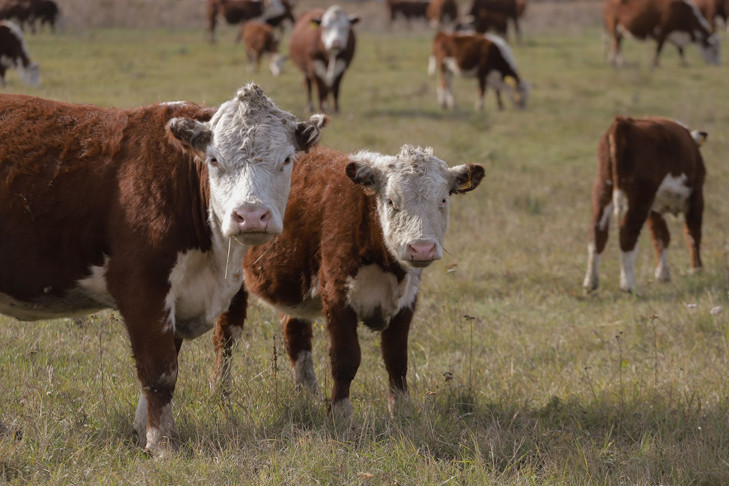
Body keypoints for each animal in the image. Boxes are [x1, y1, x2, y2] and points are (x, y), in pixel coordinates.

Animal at [0, 82, 328, 456]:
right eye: (215, 160)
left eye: (286, 160)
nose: (250, 215)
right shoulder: (144, 287)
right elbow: (159, 371)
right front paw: (163, 443)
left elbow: (166, 362)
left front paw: (142, 429)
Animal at [210, 144, 484, 418]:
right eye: (391, 201)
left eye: (443, 200)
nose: (422, 248)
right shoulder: (336, 293)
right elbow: (345, 357)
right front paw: (340, 412)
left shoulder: (407, 299)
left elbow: (396, 357)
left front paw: (401, 409)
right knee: (227, 336)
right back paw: (222, 395)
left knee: (295, 333)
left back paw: (308, 396)